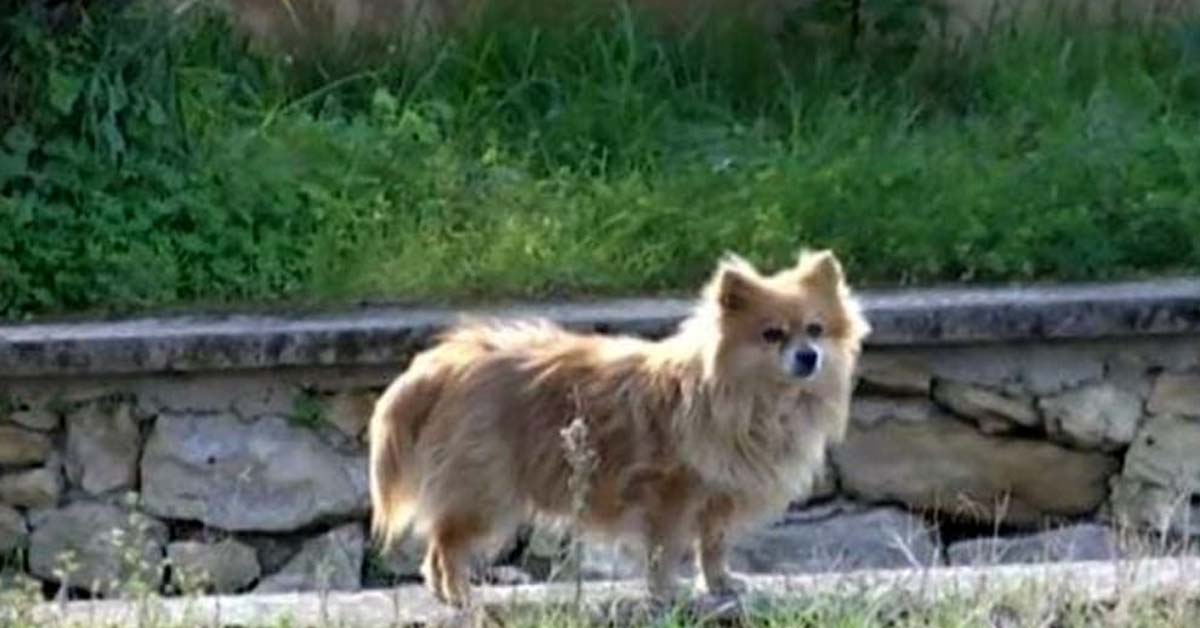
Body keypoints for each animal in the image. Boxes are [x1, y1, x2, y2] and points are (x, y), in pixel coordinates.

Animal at [369, 248, 868, 607]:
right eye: (772, 335)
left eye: (815, 330)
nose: (808, 356)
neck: (756, 401)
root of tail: (444, 363)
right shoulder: (671, 496)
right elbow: (664, 552)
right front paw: (665, 595)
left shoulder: (720, 496)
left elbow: (712, 547)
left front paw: (720, 584)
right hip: (487, 492)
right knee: (445, 545)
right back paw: (459, 596)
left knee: (437, 546)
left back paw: (446, 594)